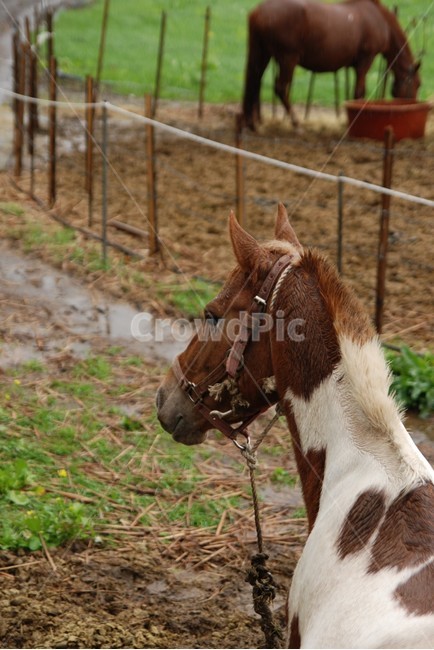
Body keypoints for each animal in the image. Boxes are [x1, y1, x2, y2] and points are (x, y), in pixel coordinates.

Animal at [241, 0, 421, 130]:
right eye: (418, 84)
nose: (413, 103)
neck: (380, 19)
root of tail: (259, 12)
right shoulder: (365, 60)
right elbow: (359, 92)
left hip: (262, 54)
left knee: (254, 81)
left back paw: (251, 123)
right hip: (288, 58)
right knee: (280, 87)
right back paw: (296, 122)